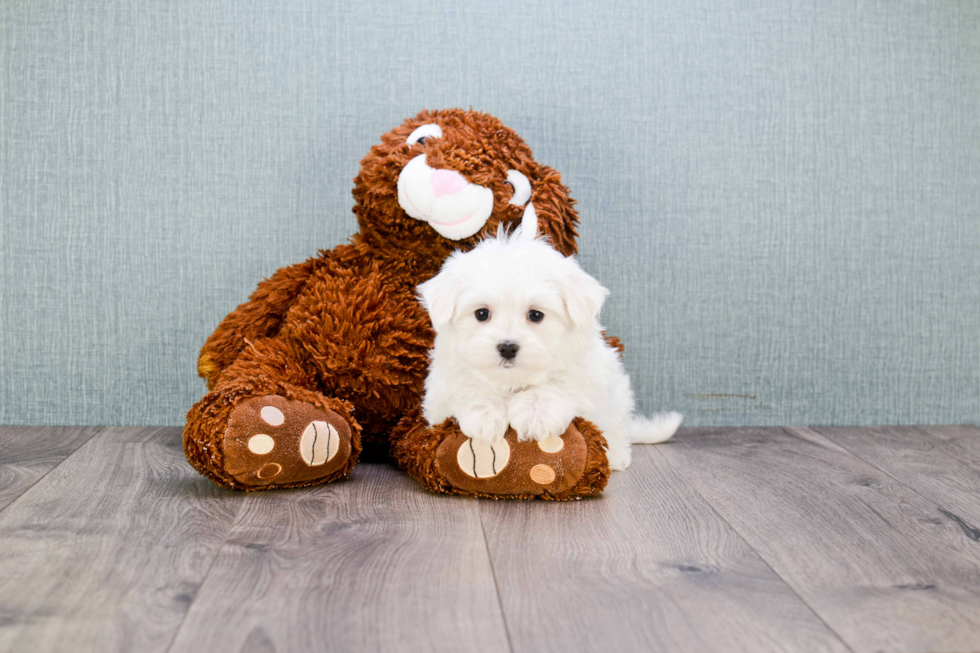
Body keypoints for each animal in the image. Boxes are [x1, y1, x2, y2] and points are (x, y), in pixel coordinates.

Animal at [420, 223, 680, 468]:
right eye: (481, 314)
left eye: (536, 315)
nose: (507, 347)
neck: (513, 383)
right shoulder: (441, 391)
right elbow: (469, 385)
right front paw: (485, 413)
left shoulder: (584, 373)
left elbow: (558, 383)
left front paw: (536, 412)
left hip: (616, 400)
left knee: (615, 430)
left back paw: (617, 457)